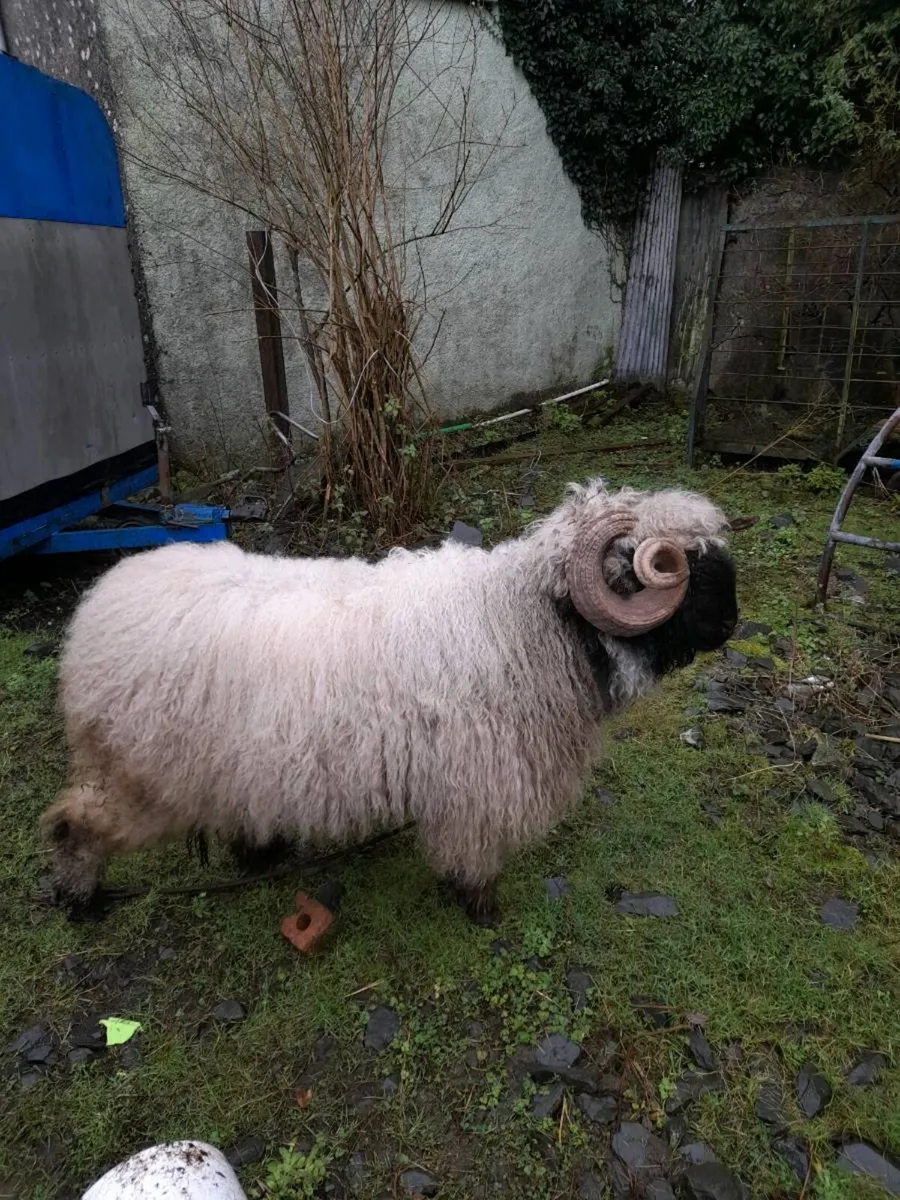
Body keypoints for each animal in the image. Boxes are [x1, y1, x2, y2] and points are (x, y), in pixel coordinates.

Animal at [41, 476, 738, 924]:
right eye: (680, 571)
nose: (733, 623)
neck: (522, 623)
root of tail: (99, 608)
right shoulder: (477, 785)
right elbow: (474, 855)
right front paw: (481, 909)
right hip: (143, 770)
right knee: (77, 822)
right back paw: (82, 901)